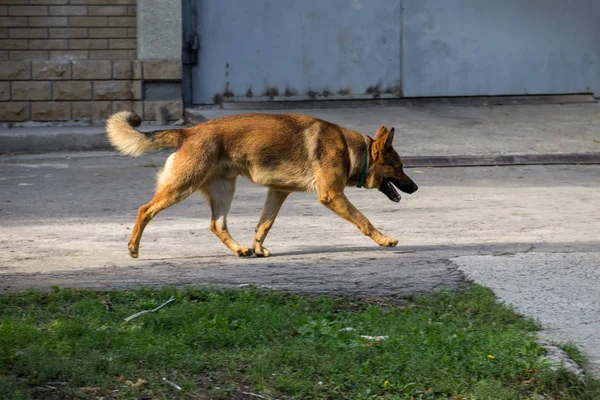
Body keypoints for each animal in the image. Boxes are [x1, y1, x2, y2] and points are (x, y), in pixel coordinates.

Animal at [106, 111, 418, 258]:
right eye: (399, 168)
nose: (415, 188)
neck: (353, 151)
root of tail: (189, 132)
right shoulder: (331, 195)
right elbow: (363, 220)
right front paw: (384, 239)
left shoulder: (278, 192)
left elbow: (264, 225)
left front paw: (257, 248)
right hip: (182, 187)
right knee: (145, 210)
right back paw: (133, 247)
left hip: (224, 191)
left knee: (217, 224)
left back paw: (240, 250)